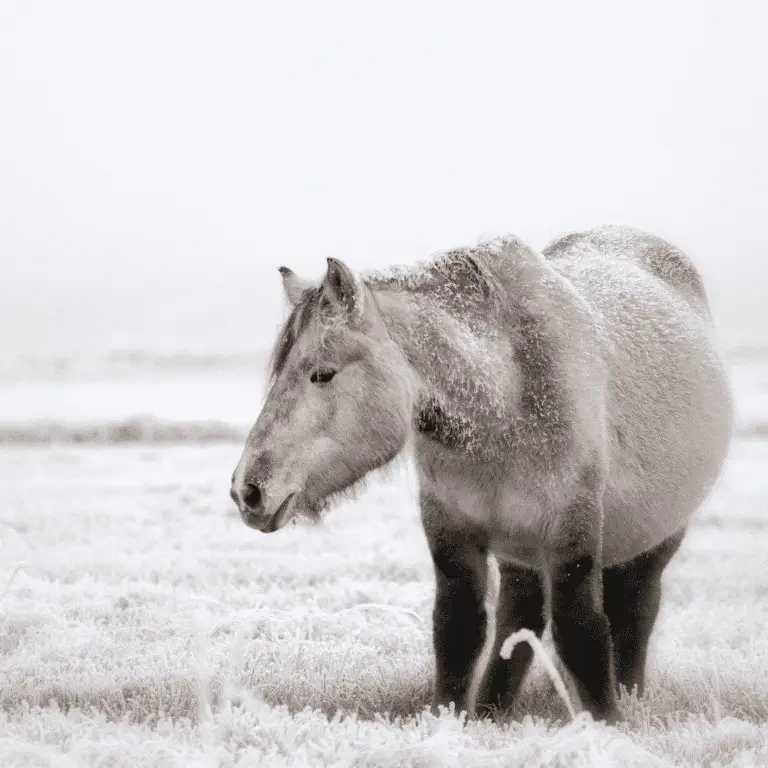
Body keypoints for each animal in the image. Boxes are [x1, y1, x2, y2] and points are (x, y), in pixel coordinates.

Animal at [230, 226, 732, 720]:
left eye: (322, 374)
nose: (247, 490)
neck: (504, 398)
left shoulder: (572, 532)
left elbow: (582, 634)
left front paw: (606, 724)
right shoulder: (451, 529)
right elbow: (457, 631)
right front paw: (451, 720)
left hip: (657, 538)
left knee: (635, 611)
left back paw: (629, 696)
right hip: (520, 549)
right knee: (521, 616)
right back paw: (494, 709)